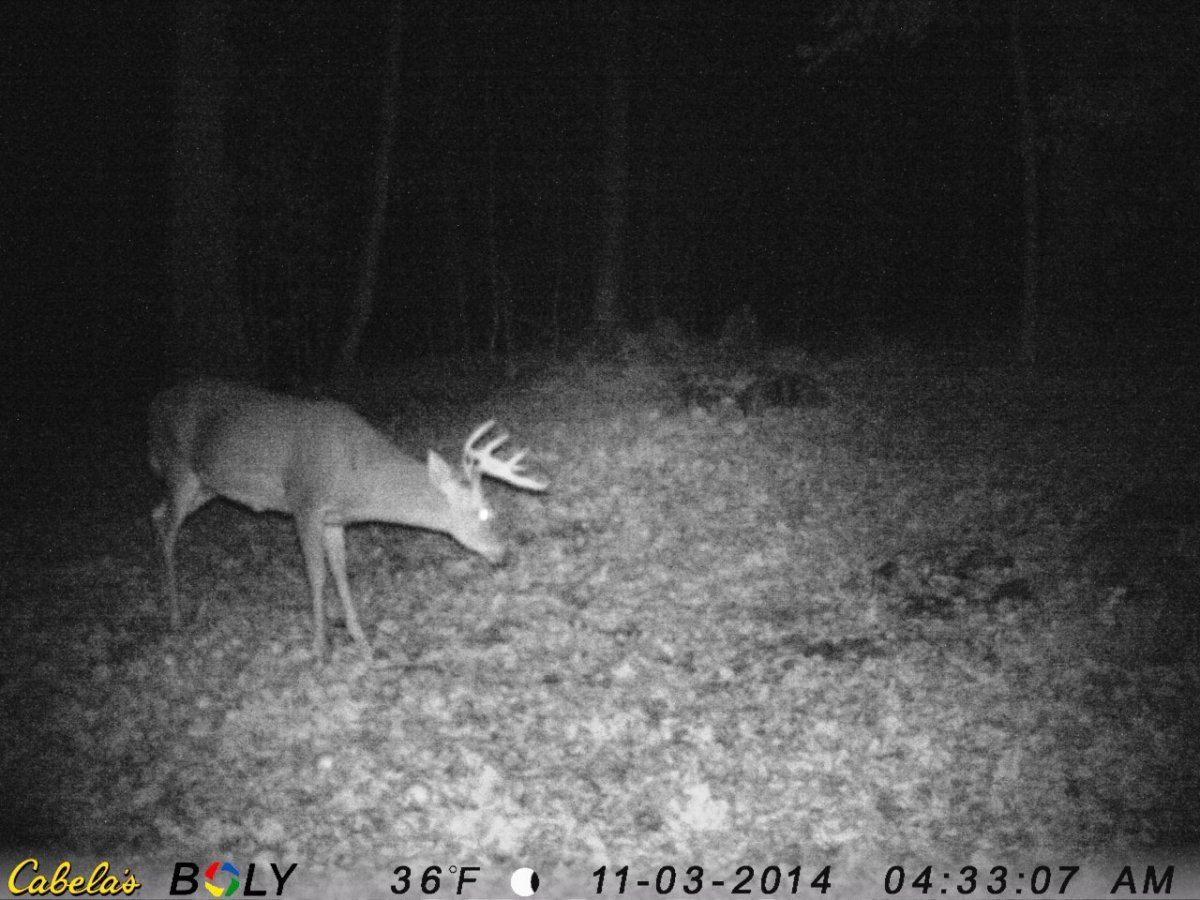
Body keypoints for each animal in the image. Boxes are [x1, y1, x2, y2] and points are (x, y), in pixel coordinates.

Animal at [148, 376, 548, 658]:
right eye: (484, 511)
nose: (504, 553)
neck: (355, 479)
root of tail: (152, 407)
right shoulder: (304, 502)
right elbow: (317, 575)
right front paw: (320, 647)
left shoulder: (334, 519)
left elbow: (341, 573)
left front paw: (362, 640)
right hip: (179, 469)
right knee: (166, 526)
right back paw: (175, 618)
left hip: (207, 487)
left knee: (155, 514)